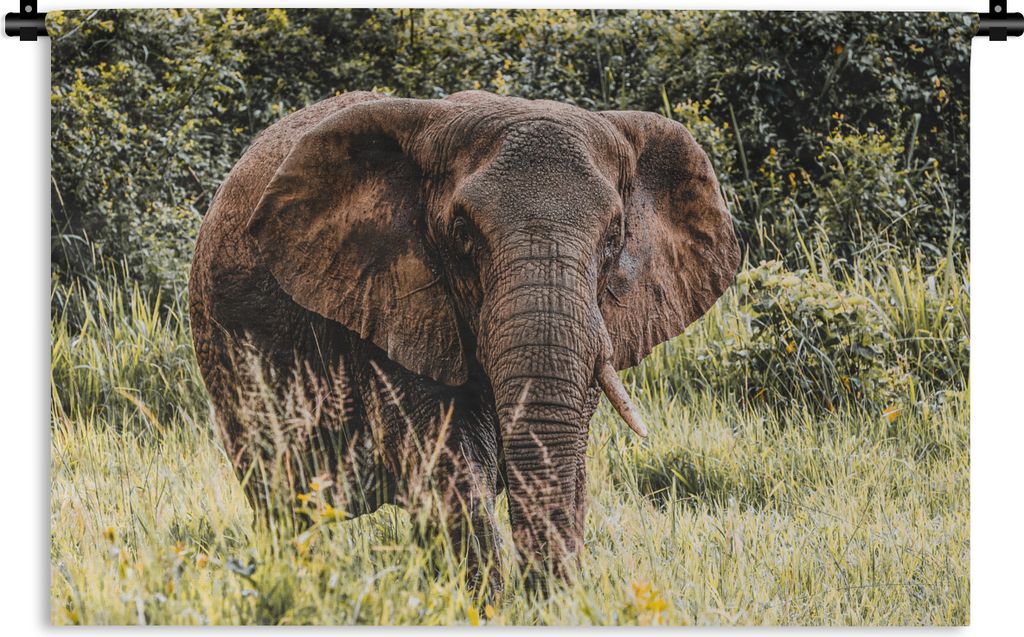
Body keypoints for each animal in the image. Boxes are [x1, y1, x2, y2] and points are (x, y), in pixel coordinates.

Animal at [188, 90, 739, 592]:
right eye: (462, 233)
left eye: (613, 237)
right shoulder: (390, 299)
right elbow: (444, 460)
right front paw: (485, 604)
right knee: (283, 501)